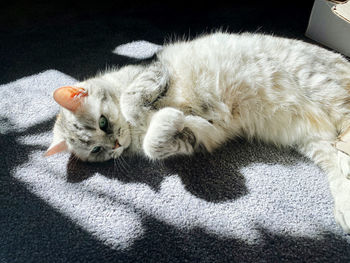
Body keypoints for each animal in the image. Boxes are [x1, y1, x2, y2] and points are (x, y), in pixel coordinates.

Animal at [47, 32, 350, 233]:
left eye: (103, 123)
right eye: (96, 150)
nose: (116, 145)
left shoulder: (154, 72)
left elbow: (133, 102)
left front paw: (148, 114)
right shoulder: (202, 138)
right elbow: (160, 142)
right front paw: (172, 120)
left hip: (329, 96)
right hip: (315, 140)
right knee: (338, 166)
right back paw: (345, 208)